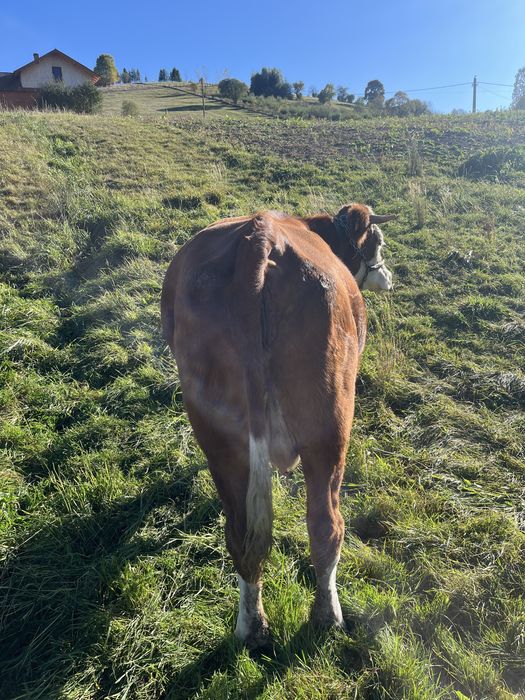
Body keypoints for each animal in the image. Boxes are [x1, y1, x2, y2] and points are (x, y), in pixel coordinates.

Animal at [161, 203, 394, 648]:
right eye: (378, 242)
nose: (388, 277)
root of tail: (260, 237)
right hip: (329, 428)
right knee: (326, 526)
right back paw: (328, 617)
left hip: (224, 434)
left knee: (242, 536)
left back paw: (251, 628)